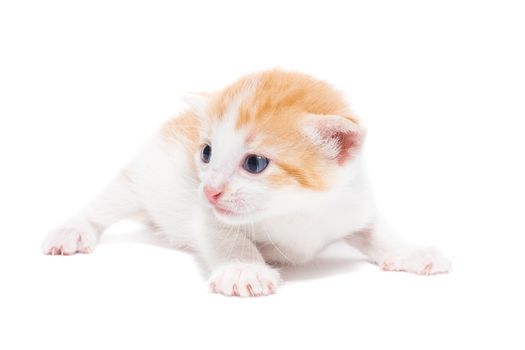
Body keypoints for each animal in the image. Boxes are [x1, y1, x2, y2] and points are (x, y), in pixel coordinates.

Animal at [42, 69, 450, 296]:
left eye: (255, 163)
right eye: (206, 153)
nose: (210, 189)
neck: (298, 208)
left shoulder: (351, 201)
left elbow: (378, 231)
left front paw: (413, 251)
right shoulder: (206, 212)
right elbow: (226, 235)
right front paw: (243, 269)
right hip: (141, 175)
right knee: (105, 204)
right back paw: (73, 230)